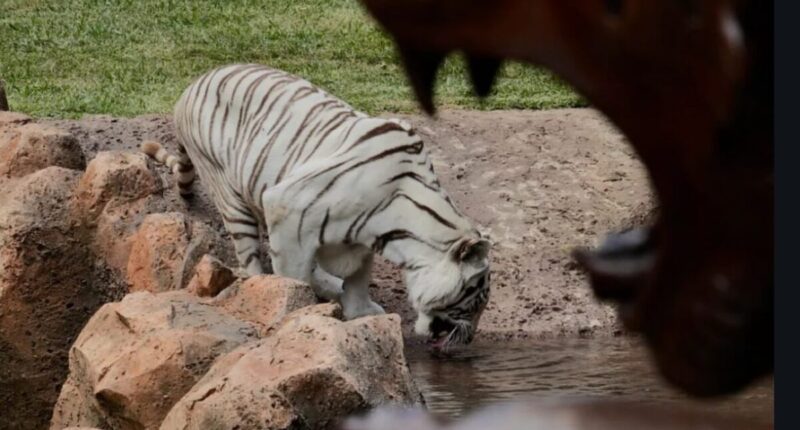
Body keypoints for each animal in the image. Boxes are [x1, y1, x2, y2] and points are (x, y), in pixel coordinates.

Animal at [145, 63, 494, 346]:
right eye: (476, 299)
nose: (468, 340)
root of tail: (191, 85)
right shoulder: (288, 209)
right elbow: (293, 276)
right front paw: (298, 313)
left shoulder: (358, 240)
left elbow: (357, 278)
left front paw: (359, 312)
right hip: (230, 196)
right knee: (251, 258)